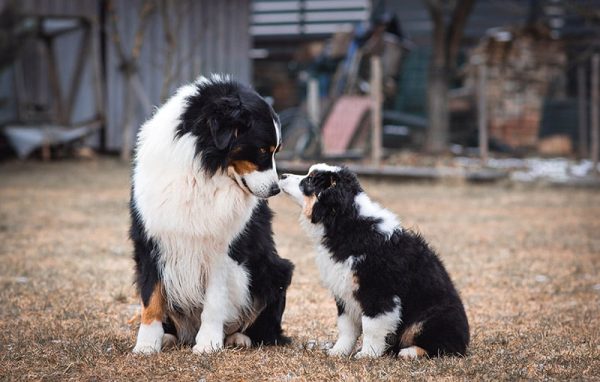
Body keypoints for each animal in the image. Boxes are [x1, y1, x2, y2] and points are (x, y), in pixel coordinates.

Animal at [130, 74, 294, 356]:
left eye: (276, 150)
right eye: (262, 150)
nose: (275, 190)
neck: (203, 172)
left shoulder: (224, 249)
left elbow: (215, 300)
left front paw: (208, 343)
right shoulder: (151, 239)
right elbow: (151, 299)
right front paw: (146, 345)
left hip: (277, 271)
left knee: (266, 330)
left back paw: (238, 338)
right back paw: (168, 337)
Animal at [278, 163, 472, 358]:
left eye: (310, 180)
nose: (281, 175)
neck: (346, 222)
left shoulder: (377, 291)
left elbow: (372, 326)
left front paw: (367, 354)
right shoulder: (344, 290)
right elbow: (346, 327)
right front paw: (338, 351)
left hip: (432, 317)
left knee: (444, 345)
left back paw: (409, 352)